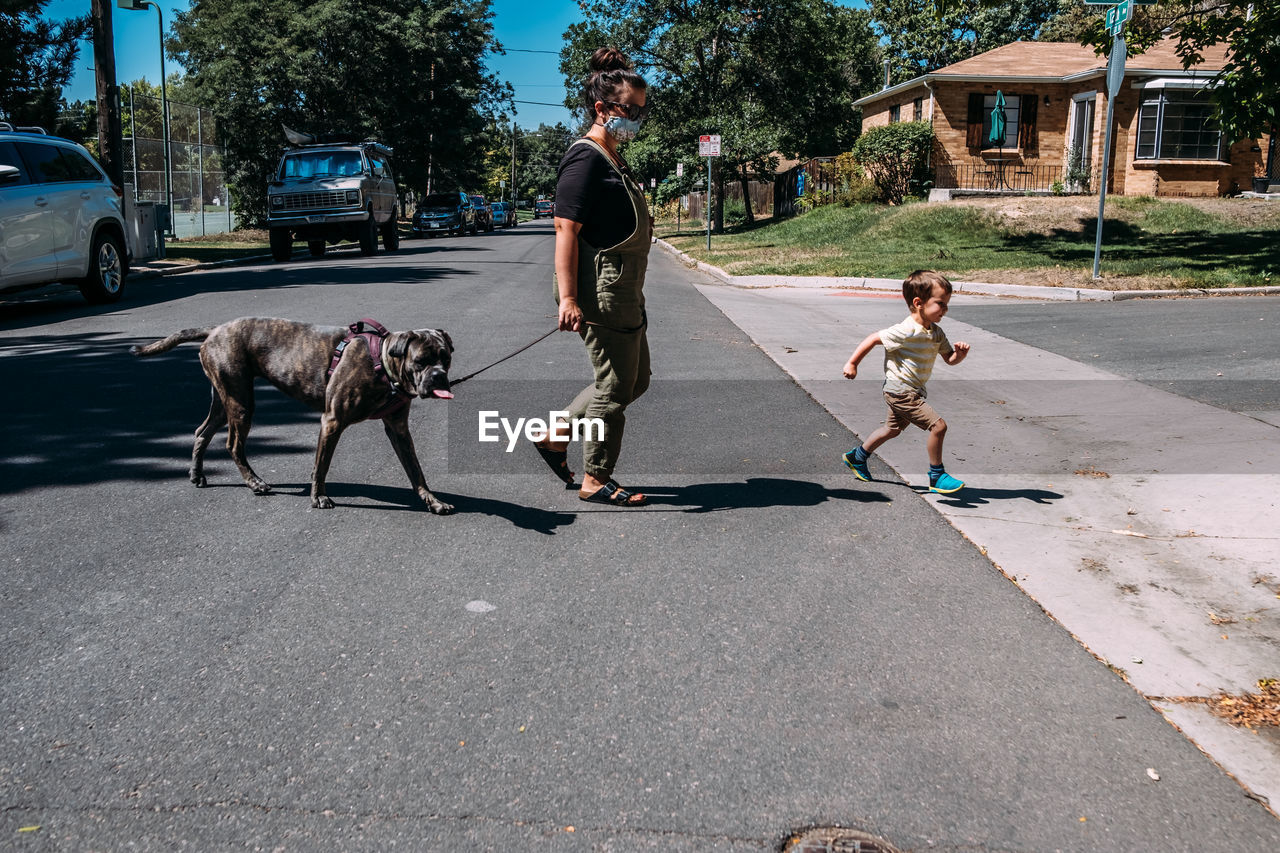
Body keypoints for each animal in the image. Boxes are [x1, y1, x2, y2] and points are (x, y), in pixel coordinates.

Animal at [133, 313, 455, 507]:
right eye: (421, 360)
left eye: (446, 357)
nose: (439, 376)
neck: (384, 366)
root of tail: (215, 330)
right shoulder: (332, 422)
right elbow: (321, 465)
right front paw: (319, 496)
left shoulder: (398, 430)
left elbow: (415, 470)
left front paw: (432, 501)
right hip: (240, 403)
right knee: (233, 444)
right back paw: (255, 483)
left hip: (225, 400)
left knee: (203, 432)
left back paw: (197, 474)